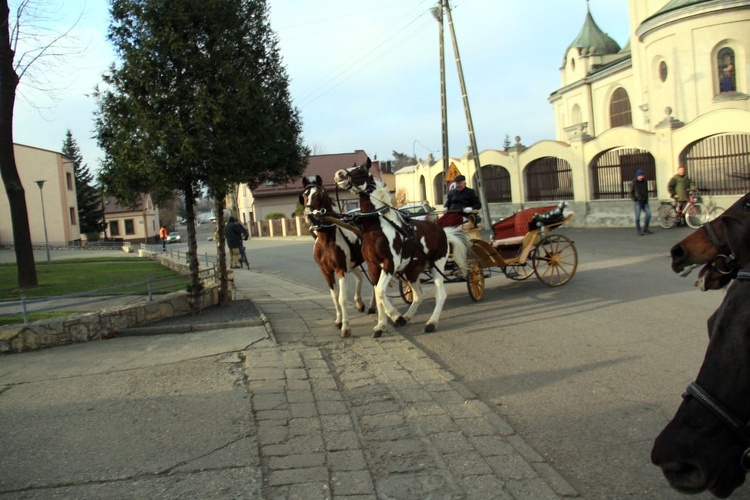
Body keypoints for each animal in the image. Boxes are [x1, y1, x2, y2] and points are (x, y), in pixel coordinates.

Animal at [300, 174, 376, 338]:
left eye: (319, 194)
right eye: (304, 195)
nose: (308, 215)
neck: (326, 239)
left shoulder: (340, 270)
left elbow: (342, 298)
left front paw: (346, 327)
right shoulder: (326, 271)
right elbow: (334, 296)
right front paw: (339, 321)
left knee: (375, 281)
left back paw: (373, 306)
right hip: (352, 262)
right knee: (361, 277)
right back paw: (360, 303)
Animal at [336, 158, 470, 338]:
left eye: (361, 170)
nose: (339, 174)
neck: (378, 227)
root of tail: (443, 232)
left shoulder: (389, 265)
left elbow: (380, 291)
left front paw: (392, 317)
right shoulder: (373, 267)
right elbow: (378, 292)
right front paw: (383, 324)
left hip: (437, 266)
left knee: (440, 294)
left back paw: (431, 323)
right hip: (411, 271)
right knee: (418, 295)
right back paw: (406, 317)